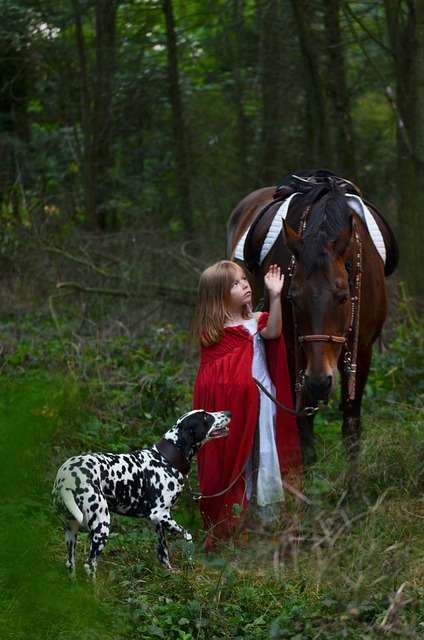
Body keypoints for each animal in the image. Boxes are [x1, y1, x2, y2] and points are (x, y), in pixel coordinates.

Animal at [53, 410, 232, 580]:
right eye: (205, 417)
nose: (229, 413)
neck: (166, 458)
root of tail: (66, 478)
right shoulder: (161, 515)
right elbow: (187, 536)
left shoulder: (156, 523)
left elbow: (163, 553)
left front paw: (170, 575)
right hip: (101, 526)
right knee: (89, 565)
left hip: (71, 531)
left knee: (70, 564)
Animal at [229, 172, 398, 478]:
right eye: (292, 298)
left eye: (343, 297)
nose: (320, 382)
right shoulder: (291, 350)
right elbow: (303, 427)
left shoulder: (362, 351)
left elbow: (351, 427)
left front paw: (352, 488)